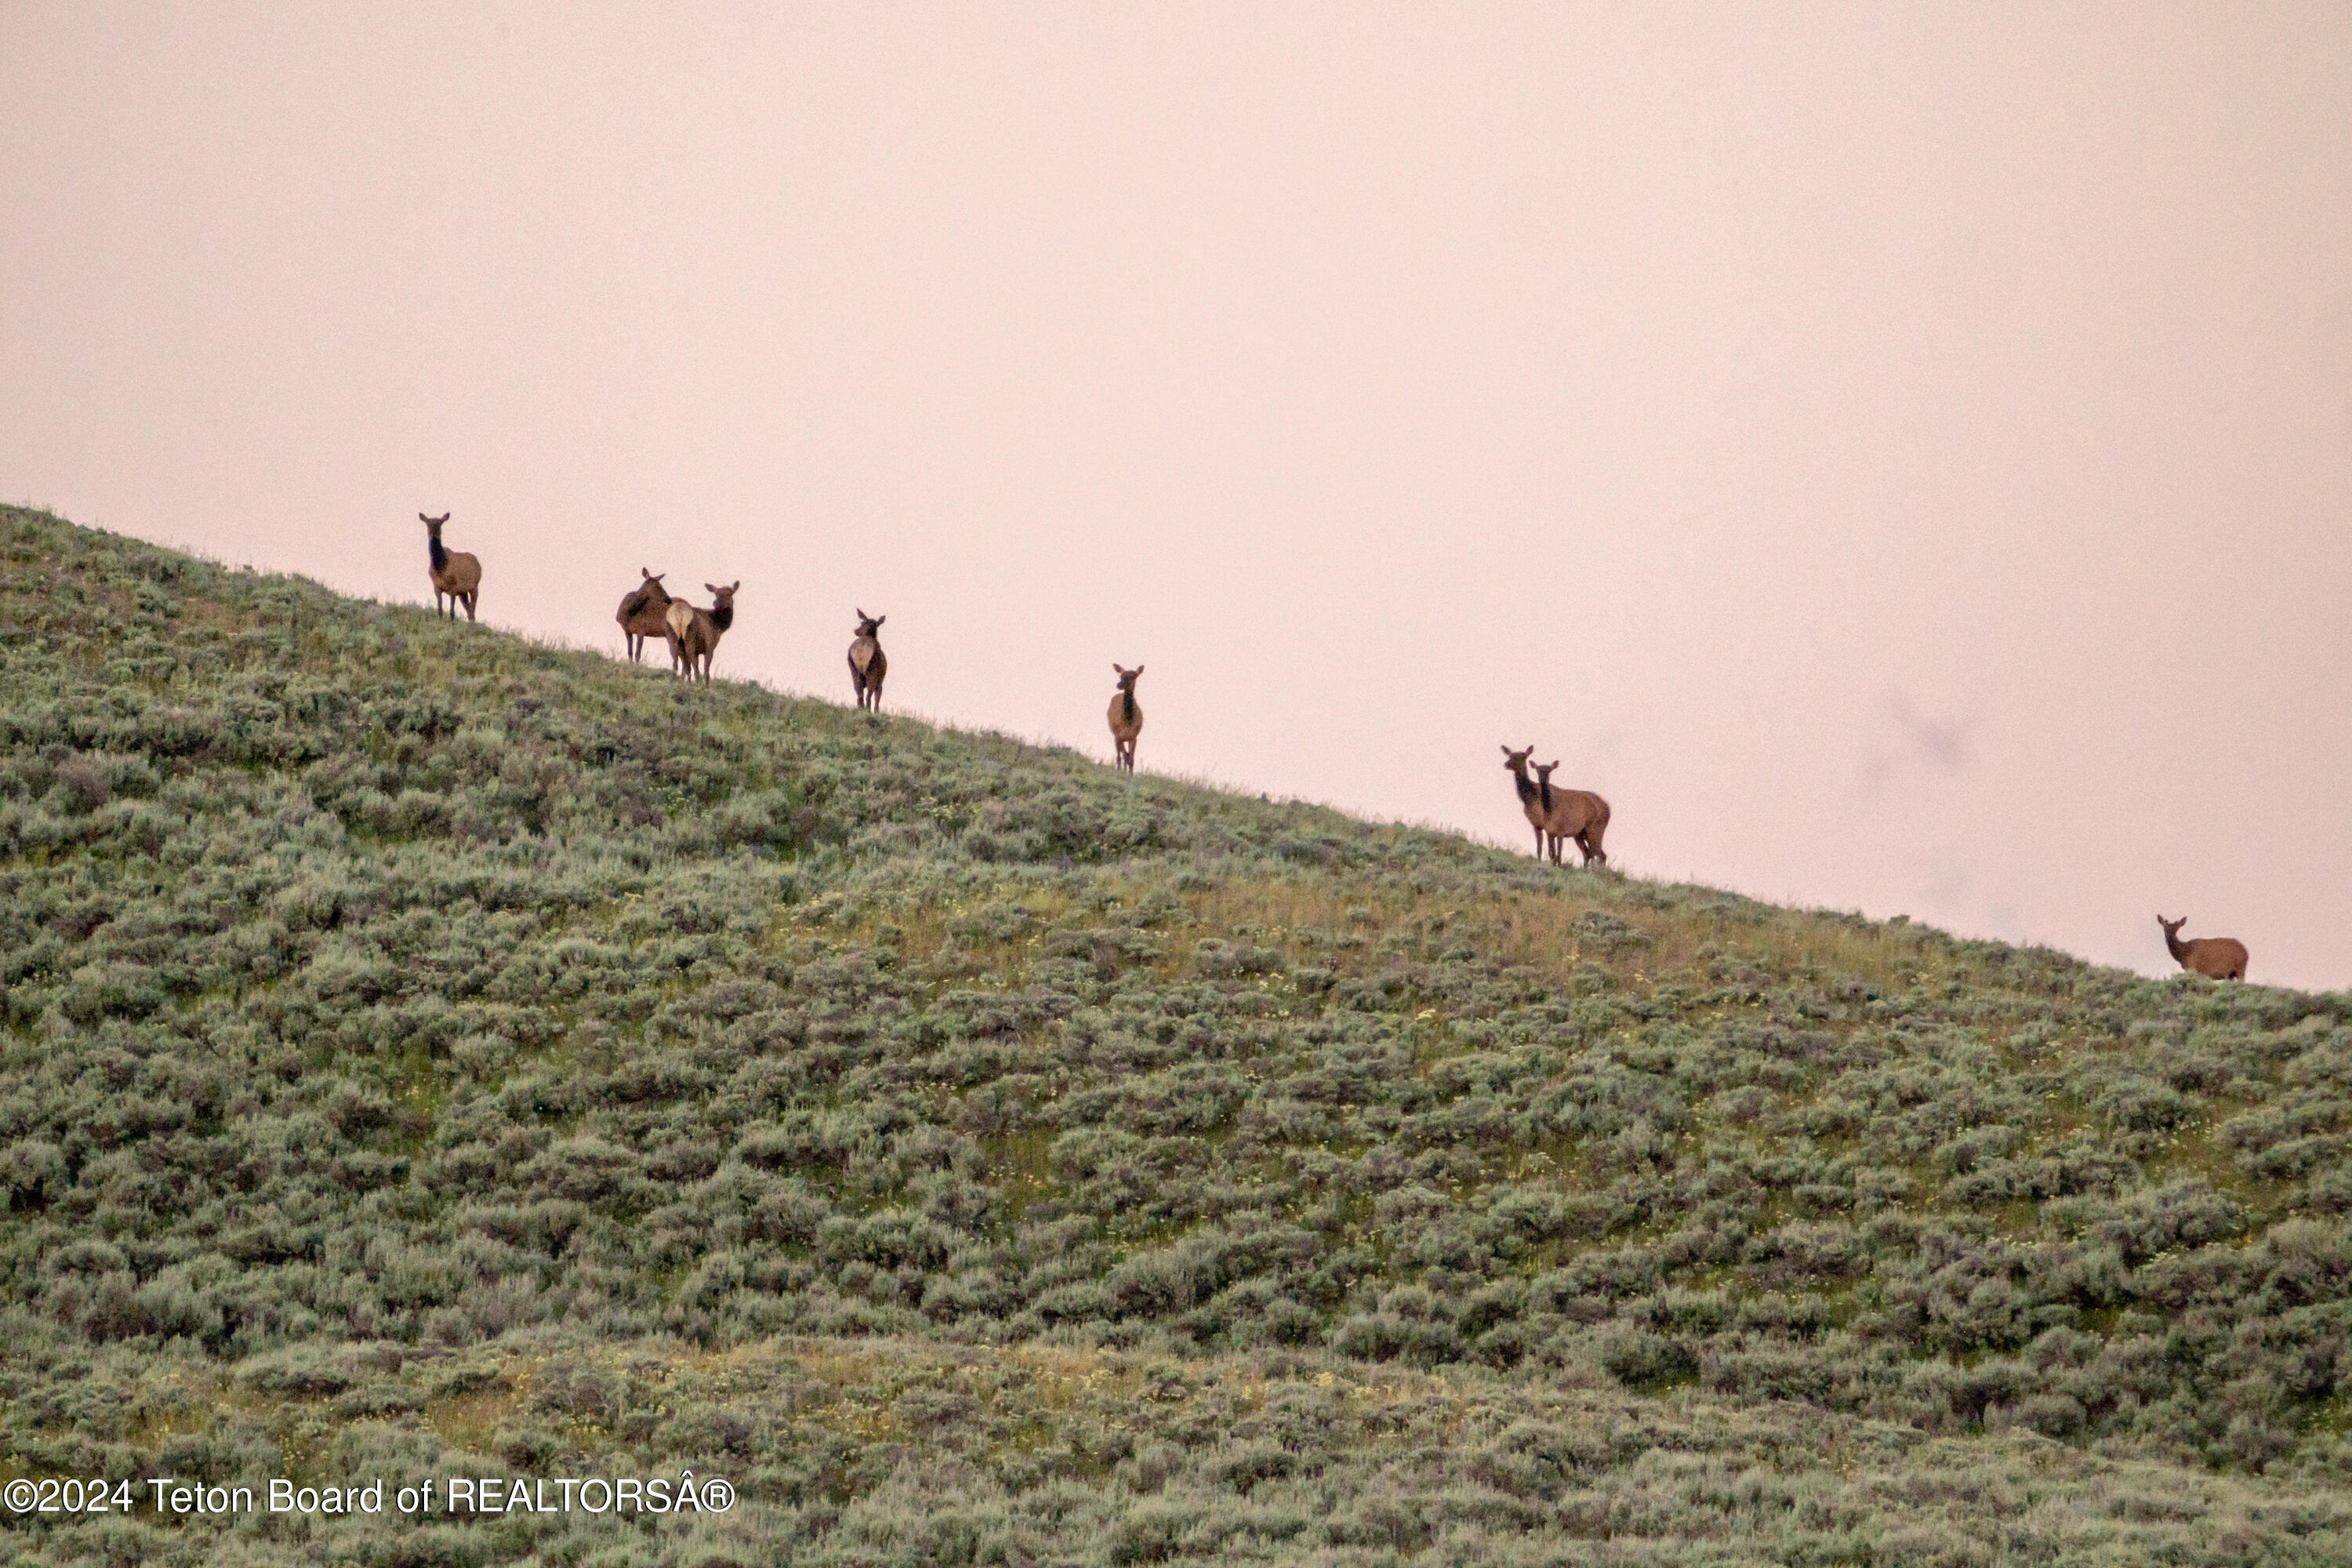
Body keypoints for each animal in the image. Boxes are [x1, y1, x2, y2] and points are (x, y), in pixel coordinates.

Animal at [421, 513, 481, 621]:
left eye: (440, 523)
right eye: (428, 524)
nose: (434, 534)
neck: (441, 568)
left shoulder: (454, 587)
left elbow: (452, 612)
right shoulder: (437, 587)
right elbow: (440, 610)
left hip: (474, 586)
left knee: (472, 610)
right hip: (463, 593)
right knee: (469, 611)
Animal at [663, 581, 738, 684]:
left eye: (729, 594)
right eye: (716, 594)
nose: (717, 604)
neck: (719, 626)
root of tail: (679, 612)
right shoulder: (709, 647)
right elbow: (706, 671)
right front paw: (705, 686)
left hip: (672, 636)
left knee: (678, 661)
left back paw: (676, 681)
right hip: (690, 638)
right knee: (692, 664)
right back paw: (694, 683)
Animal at [848, 610, 888, 711]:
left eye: (862, 623)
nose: (856, 631)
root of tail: (861, 649)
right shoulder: (880, 681)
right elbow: (877, 699)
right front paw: (877, 712)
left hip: (854, 670)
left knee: (859, 695)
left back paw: (861, 710)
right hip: (872, 671)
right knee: (868, 696)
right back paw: (868, 711)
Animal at [1107, 664, 1144, 773]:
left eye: (1134, 676)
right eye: (1121, 676)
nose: (1119, 685)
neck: (1127, 722)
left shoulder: (1133, 737)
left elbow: (1131, 760)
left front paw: (1130, 775)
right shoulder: (1118, 736)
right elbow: (1124, 757)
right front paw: (1122, 773)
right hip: (1115, 735)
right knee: (1119, 756)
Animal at [1534, 760, 1611, 869]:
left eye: (1549, 771)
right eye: (1537, 770)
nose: (1542, 779)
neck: (1549, 812)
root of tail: (1608, 809)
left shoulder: (1561, 830)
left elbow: (1559, 852)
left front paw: (1559, 866)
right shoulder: (1550, 831)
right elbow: (1552, 852)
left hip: (1596, 829)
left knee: (1598, 854)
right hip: (1580, 834)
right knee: (1589, 853)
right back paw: (1587, 870)